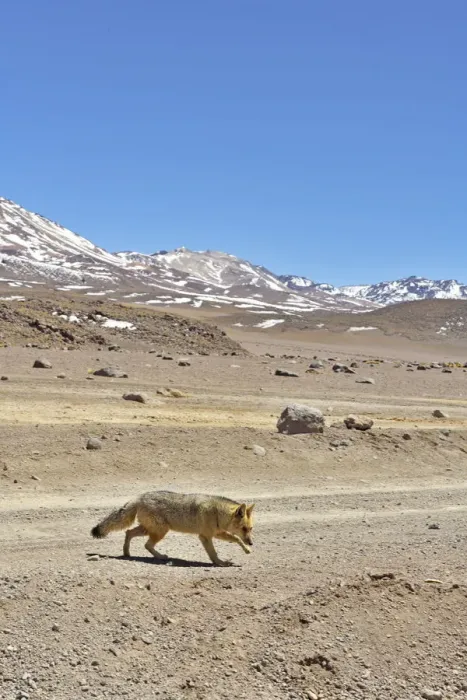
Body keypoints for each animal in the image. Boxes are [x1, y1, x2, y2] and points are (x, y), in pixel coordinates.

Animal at [91, 490, 255, 567]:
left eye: (250, 529)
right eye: (244, 528)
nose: (252, 543)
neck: (216, 512)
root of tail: (139, 497)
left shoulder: (218, 533)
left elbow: (235, 538)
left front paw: (247, 549)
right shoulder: (205, 536)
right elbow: (213, 553)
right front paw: (220, 563)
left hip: (149, 530)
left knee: (129, 532)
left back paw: (127, 553)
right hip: (160, 531)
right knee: (146, 544)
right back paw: (159, 557)